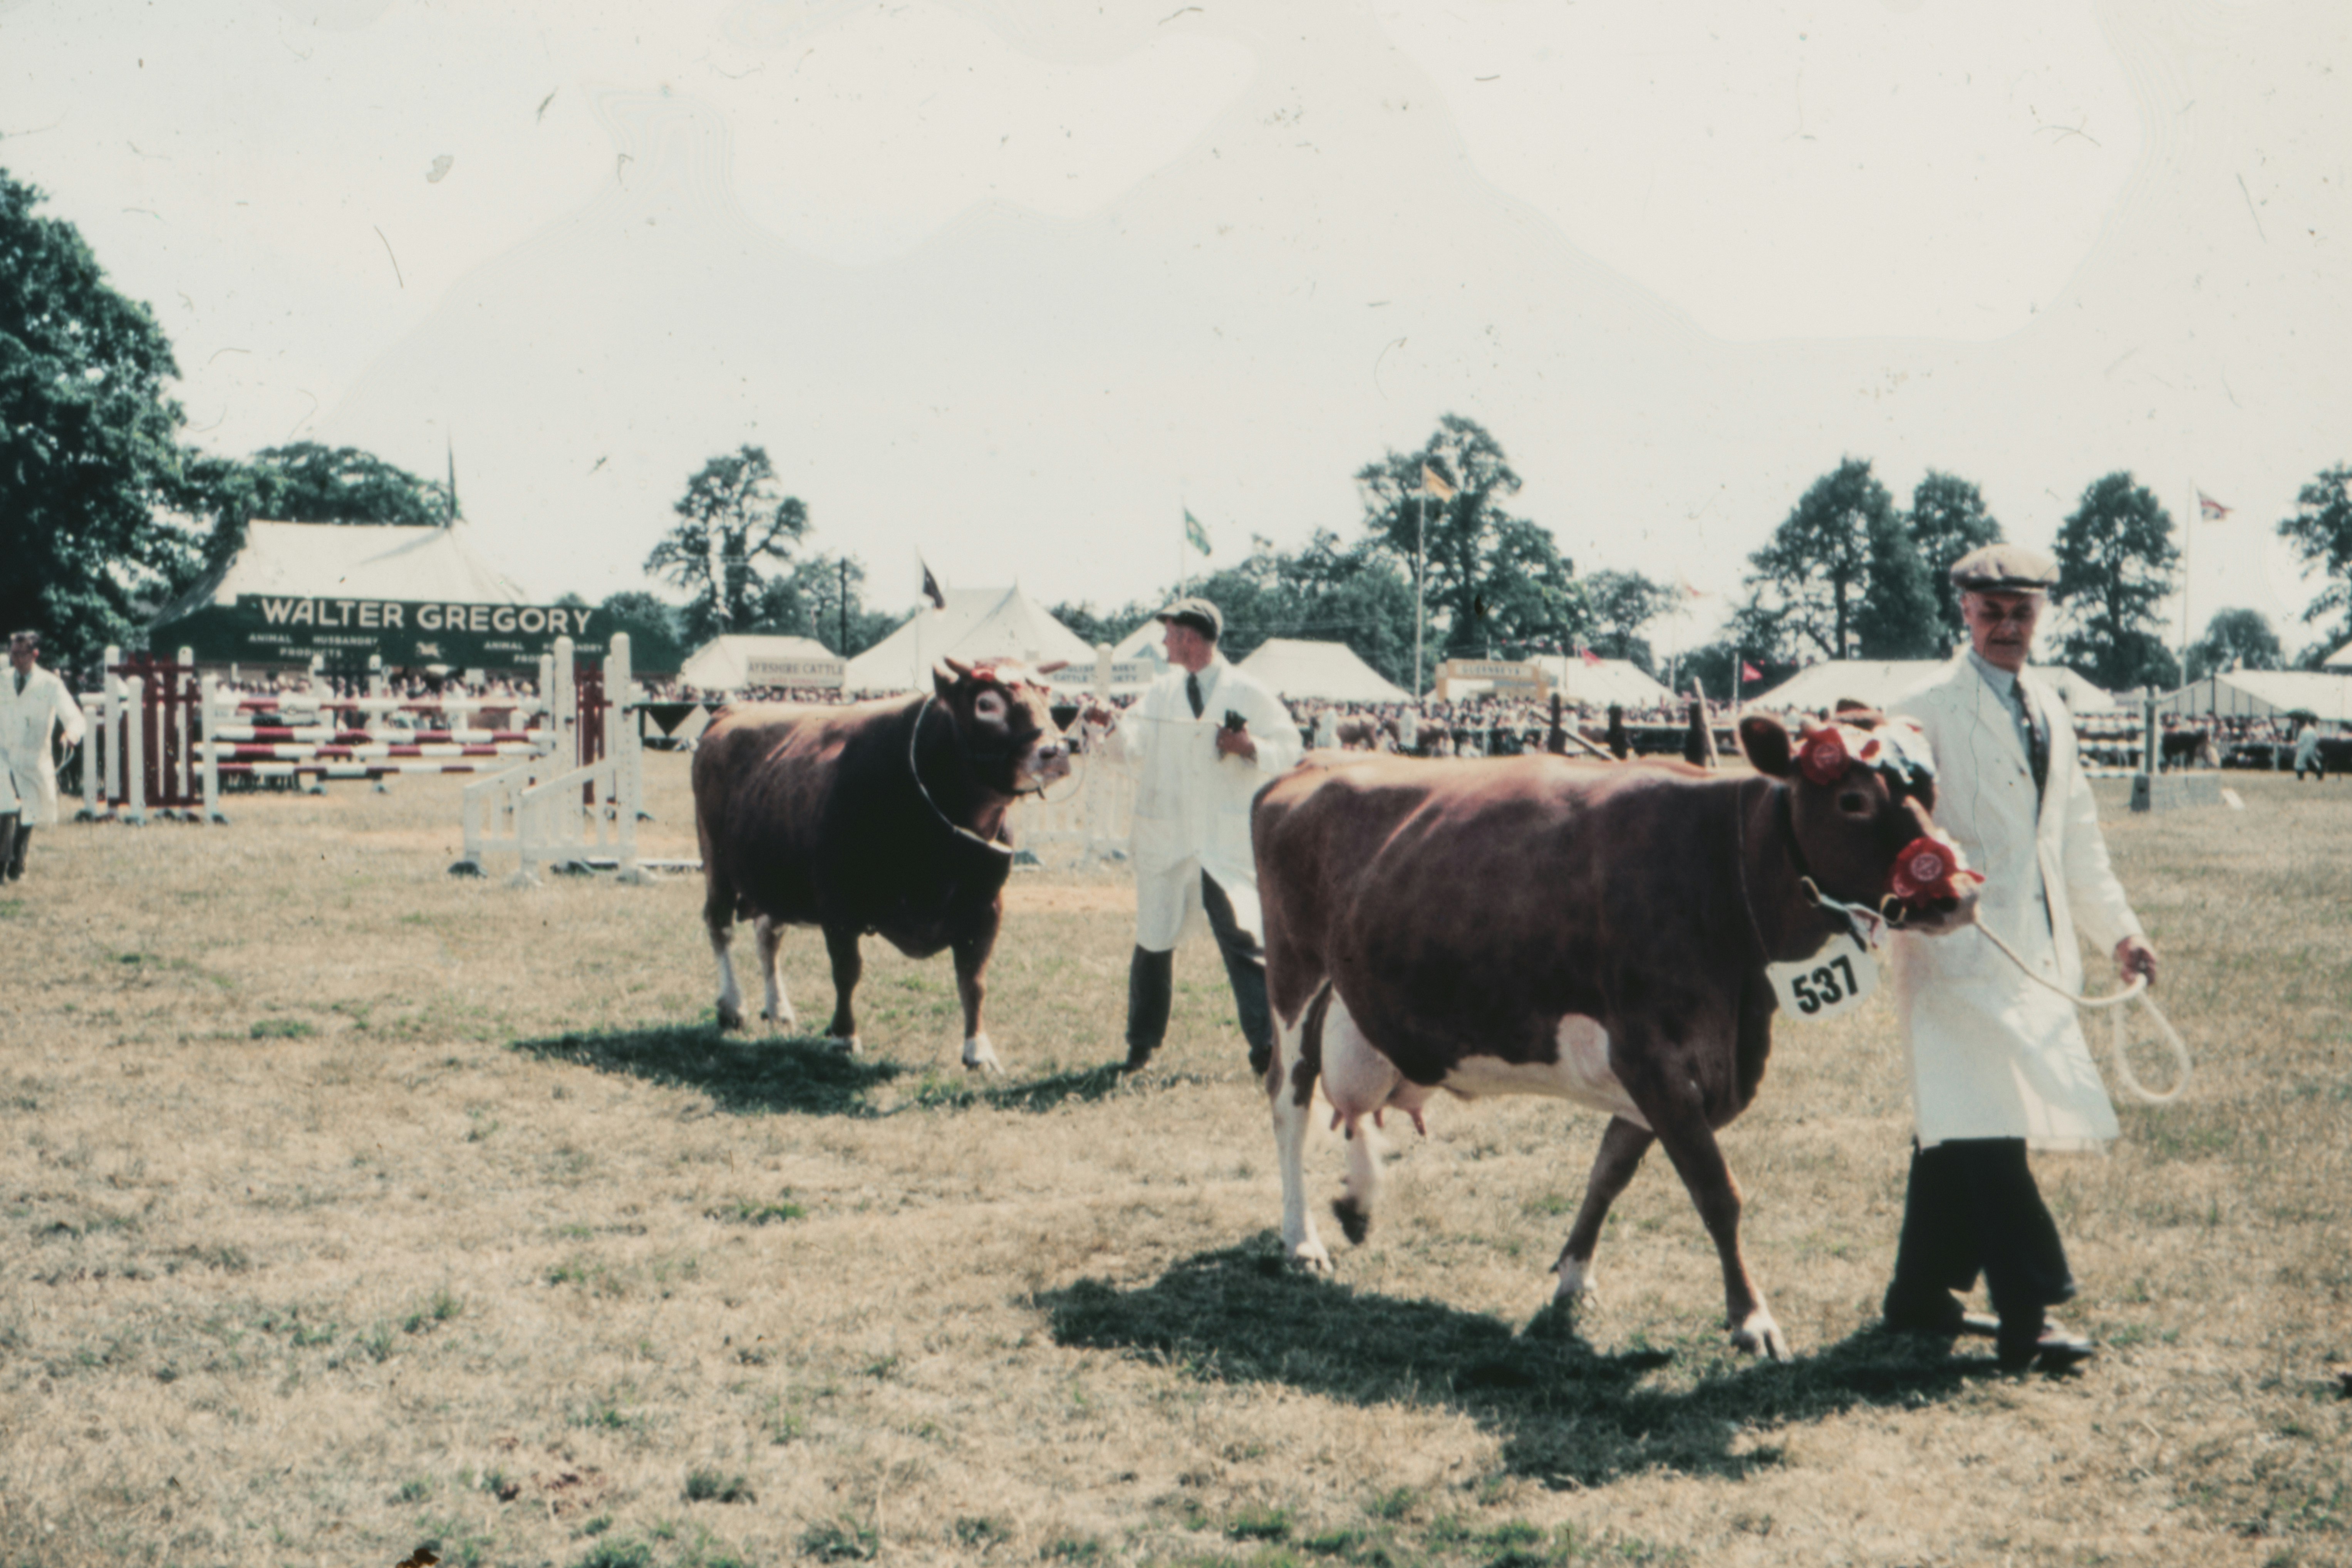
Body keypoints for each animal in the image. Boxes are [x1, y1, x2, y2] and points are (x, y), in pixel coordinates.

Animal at [691, 658, 1072, 1072]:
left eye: (1047, 694)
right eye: (986, 703)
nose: (1056, 750)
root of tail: (730, 712)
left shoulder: (986, 907)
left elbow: (974, 980)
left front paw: (978, 1050)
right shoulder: (837, 905)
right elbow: (847, 971)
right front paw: (844, 1036)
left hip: (777, 880)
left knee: (768, 935)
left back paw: (778, 1008)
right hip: (717, 864)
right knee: (720, 926)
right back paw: (732, 1006)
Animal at [1261, 714, 1975, 1363]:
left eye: (1930, 789)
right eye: (1852, 799)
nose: (1959, 894)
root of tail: (1310, 763)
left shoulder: (1664, 1068)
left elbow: (1610, 1171)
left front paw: (1573, 1277)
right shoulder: (1649, 1054)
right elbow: (1717, 1191)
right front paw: (1751, 1319)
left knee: (1355, 1101)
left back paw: (1357, 1200)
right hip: (1294, 979)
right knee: (1290, 1101)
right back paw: (1301, 1239)